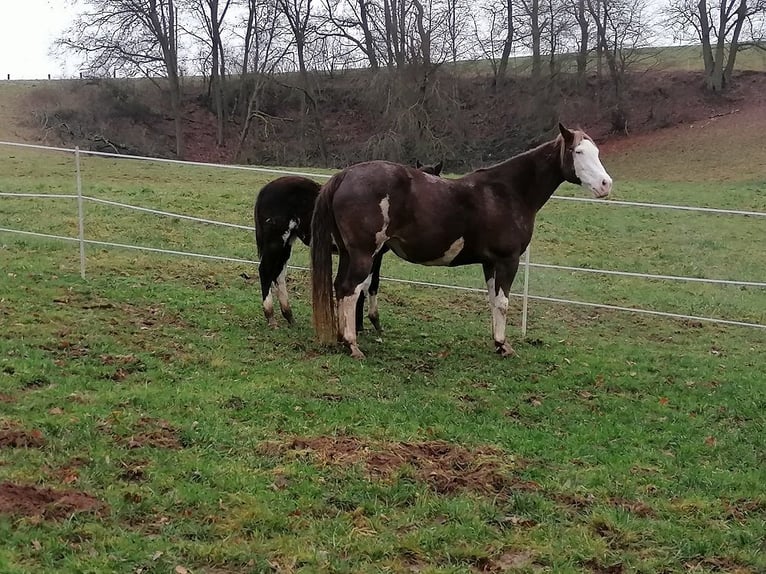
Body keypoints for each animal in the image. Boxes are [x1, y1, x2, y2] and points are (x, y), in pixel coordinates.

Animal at [255, 162, 444, 328]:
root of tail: (265, 189)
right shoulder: (374, 255)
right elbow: (370, 285)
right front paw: (370, 322)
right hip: (276, 241)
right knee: (265, 271)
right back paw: (270, 316)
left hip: (287, 242)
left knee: (278, 274)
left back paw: (289, 316)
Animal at [308, 125, 616, 360]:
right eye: (578, 152)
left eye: (597, 153)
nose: (605, 184)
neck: (508, 191)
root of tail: (345, 175)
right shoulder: (508, 260)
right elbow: (503, 303)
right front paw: (504, 345)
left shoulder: (490, 263)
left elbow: (493, 301)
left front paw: (497, 342)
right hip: (364, 255)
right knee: (349, 290)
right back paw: (352, 344)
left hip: (349, 254)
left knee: (340, 287)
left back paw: (341, 338)